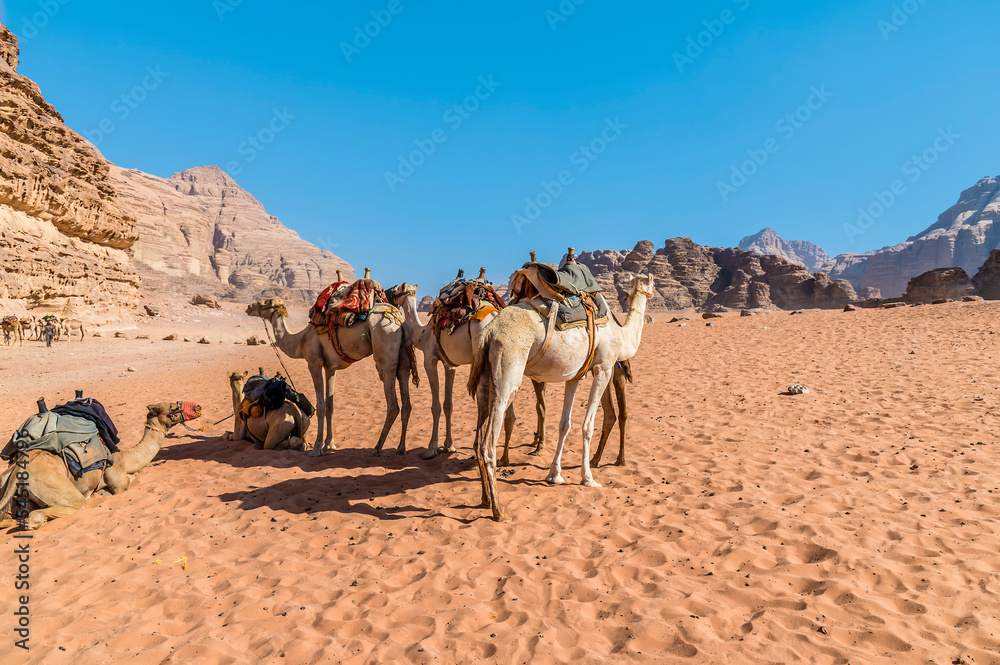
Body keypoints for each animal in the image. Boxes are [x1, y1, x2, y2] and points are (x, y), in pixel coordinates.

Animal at [0, 401, 202, 530]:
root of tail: (17, 469)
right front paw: (105, 492)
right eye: (173, 407)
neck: (125, 457)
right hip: (55, 486)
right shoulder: (118, 481)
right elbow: (128, 481)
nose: (198, 407)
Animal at [246, 270, 419, 456]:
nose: (249, 307)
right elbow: (330, 405)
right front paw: (330, 444)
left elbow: (320, 405)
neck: (299, 341)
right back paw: (400, 448)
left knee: (393, 405)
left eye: (265, 302)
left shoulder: (314, 363)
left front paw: (317, 447)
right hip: (403, 358)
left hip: (385, 352)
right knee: (406, 401)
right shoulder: (330, 367)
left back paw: (377, 448)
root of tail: (400, 320)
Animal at [390, 273, 516, 462]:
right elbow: (448, 405)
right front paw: (449, 446)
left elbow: (436, 406)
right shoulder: (450, 365)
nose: (389, 294)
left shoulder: (429, 359)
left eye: (397, 290)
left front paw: (431, 449)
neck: (421, 334)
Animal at [467, 263, 654, 522]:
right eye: (649, 283)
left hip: (484, 379)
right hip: (507, 374)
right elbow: (587, 425)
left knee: (477, 441)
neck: (622, 335)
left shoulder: (574, 375)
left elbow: (565, 424)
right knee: (488, 446)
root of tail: (489, 333)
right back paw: (499, 511)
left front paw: (554, 475)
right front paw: (588, 478)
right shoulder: (604, 367)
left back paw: (485, 500)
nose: (652, 293)